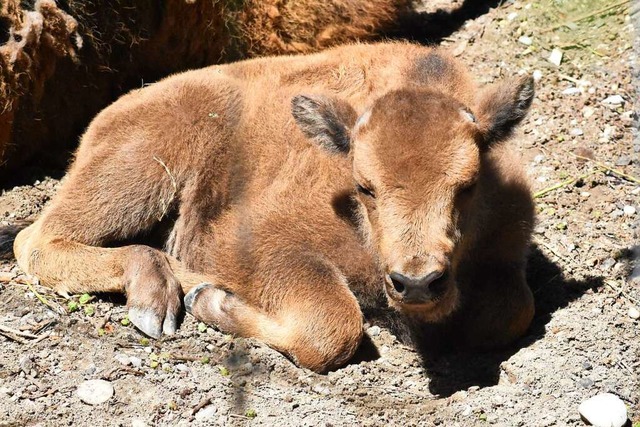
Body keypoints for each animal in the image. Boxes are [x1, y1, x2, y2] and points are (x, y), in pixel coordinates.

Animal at [10, 41, 536, 372]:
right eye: (365, 186)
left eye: (468, 185)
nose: (418, 282)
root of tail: (106, 116)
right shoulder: (260, 240)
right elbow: (333, 326)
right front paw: (213, 300)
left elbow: (514, 310)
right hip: (141, 170)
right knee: (36, 240)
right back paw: (159, 297)